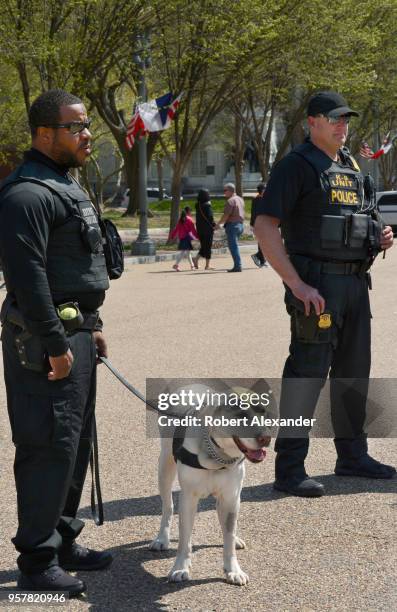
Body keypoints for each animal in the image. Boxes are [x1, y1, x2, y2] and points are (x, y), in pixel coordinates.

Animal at [149, 390, 272, 584]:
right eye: (241, 415)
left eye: (263, 412)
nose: (266, 438)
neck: (216, 454)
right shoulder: (188, 499)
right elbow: (184, 539)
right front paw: (180, 568)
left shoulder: (231, 497)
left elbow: (228, 536)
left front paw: (233, 570)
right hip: (164, 468)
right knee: (168, 507)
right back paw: (162, 538)